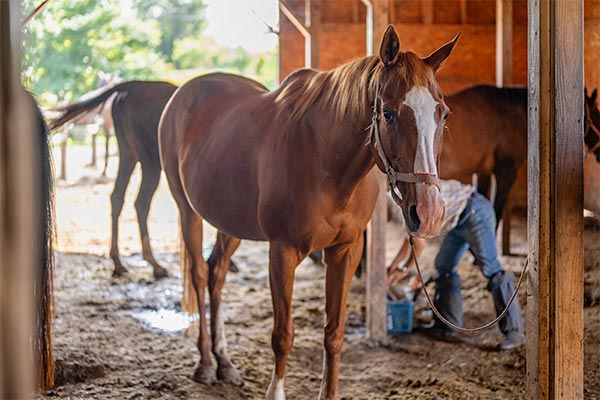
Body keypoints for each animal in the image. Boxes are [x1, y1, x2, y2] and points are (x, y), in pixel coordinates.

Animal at [159, 26, 460, 398]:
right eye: (388, 113)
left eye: (443, 115)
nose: (430, 213)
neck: (325, 160)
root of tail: (184, 93)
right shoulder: (282, 252)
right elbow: (283, 335)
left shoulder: (345, 251)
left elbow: (334, 332)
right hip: (188, 211)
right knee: (200, 275)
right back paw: (204, 362)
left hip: (229, 222)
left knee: (217, 274)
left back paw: (224, 362)